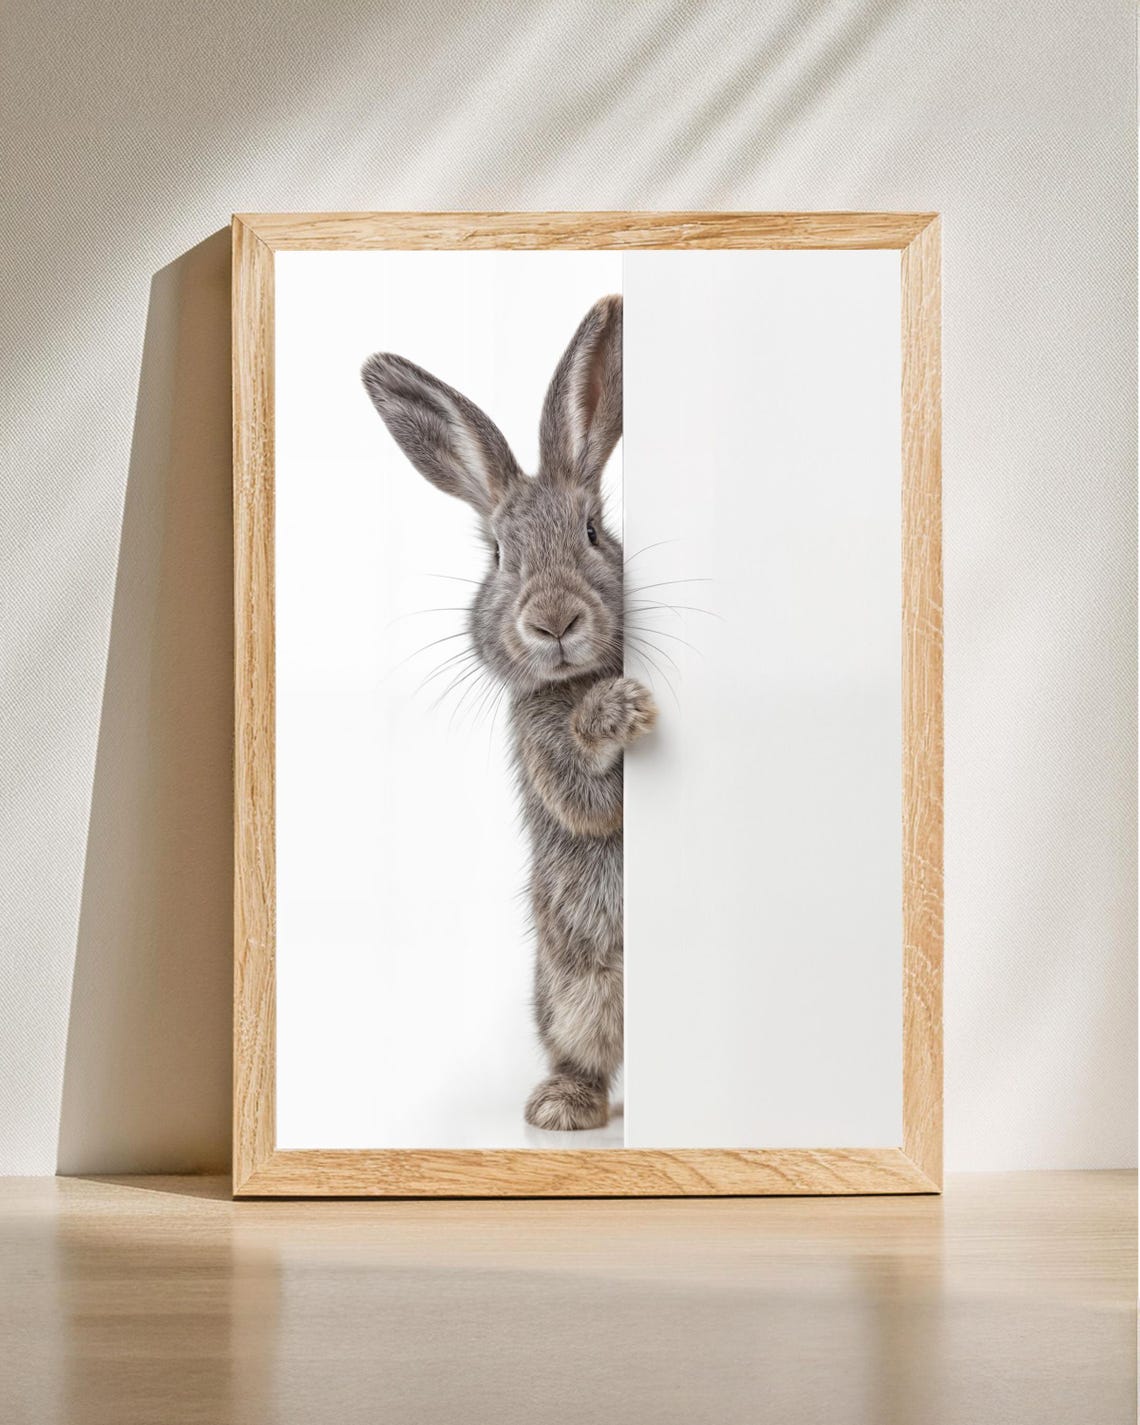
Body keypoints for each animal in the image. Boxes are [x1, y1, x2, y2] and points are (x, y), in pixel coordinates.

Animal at [362, 293, 657, 1131]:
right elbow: (588, 798)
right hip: (572, 986)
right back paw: (561, 1106)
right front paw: (616, 707)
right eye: (498, 556)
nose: (554, 620)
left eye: (593, 532)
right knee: (581, 1049)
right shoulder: (538, 742)